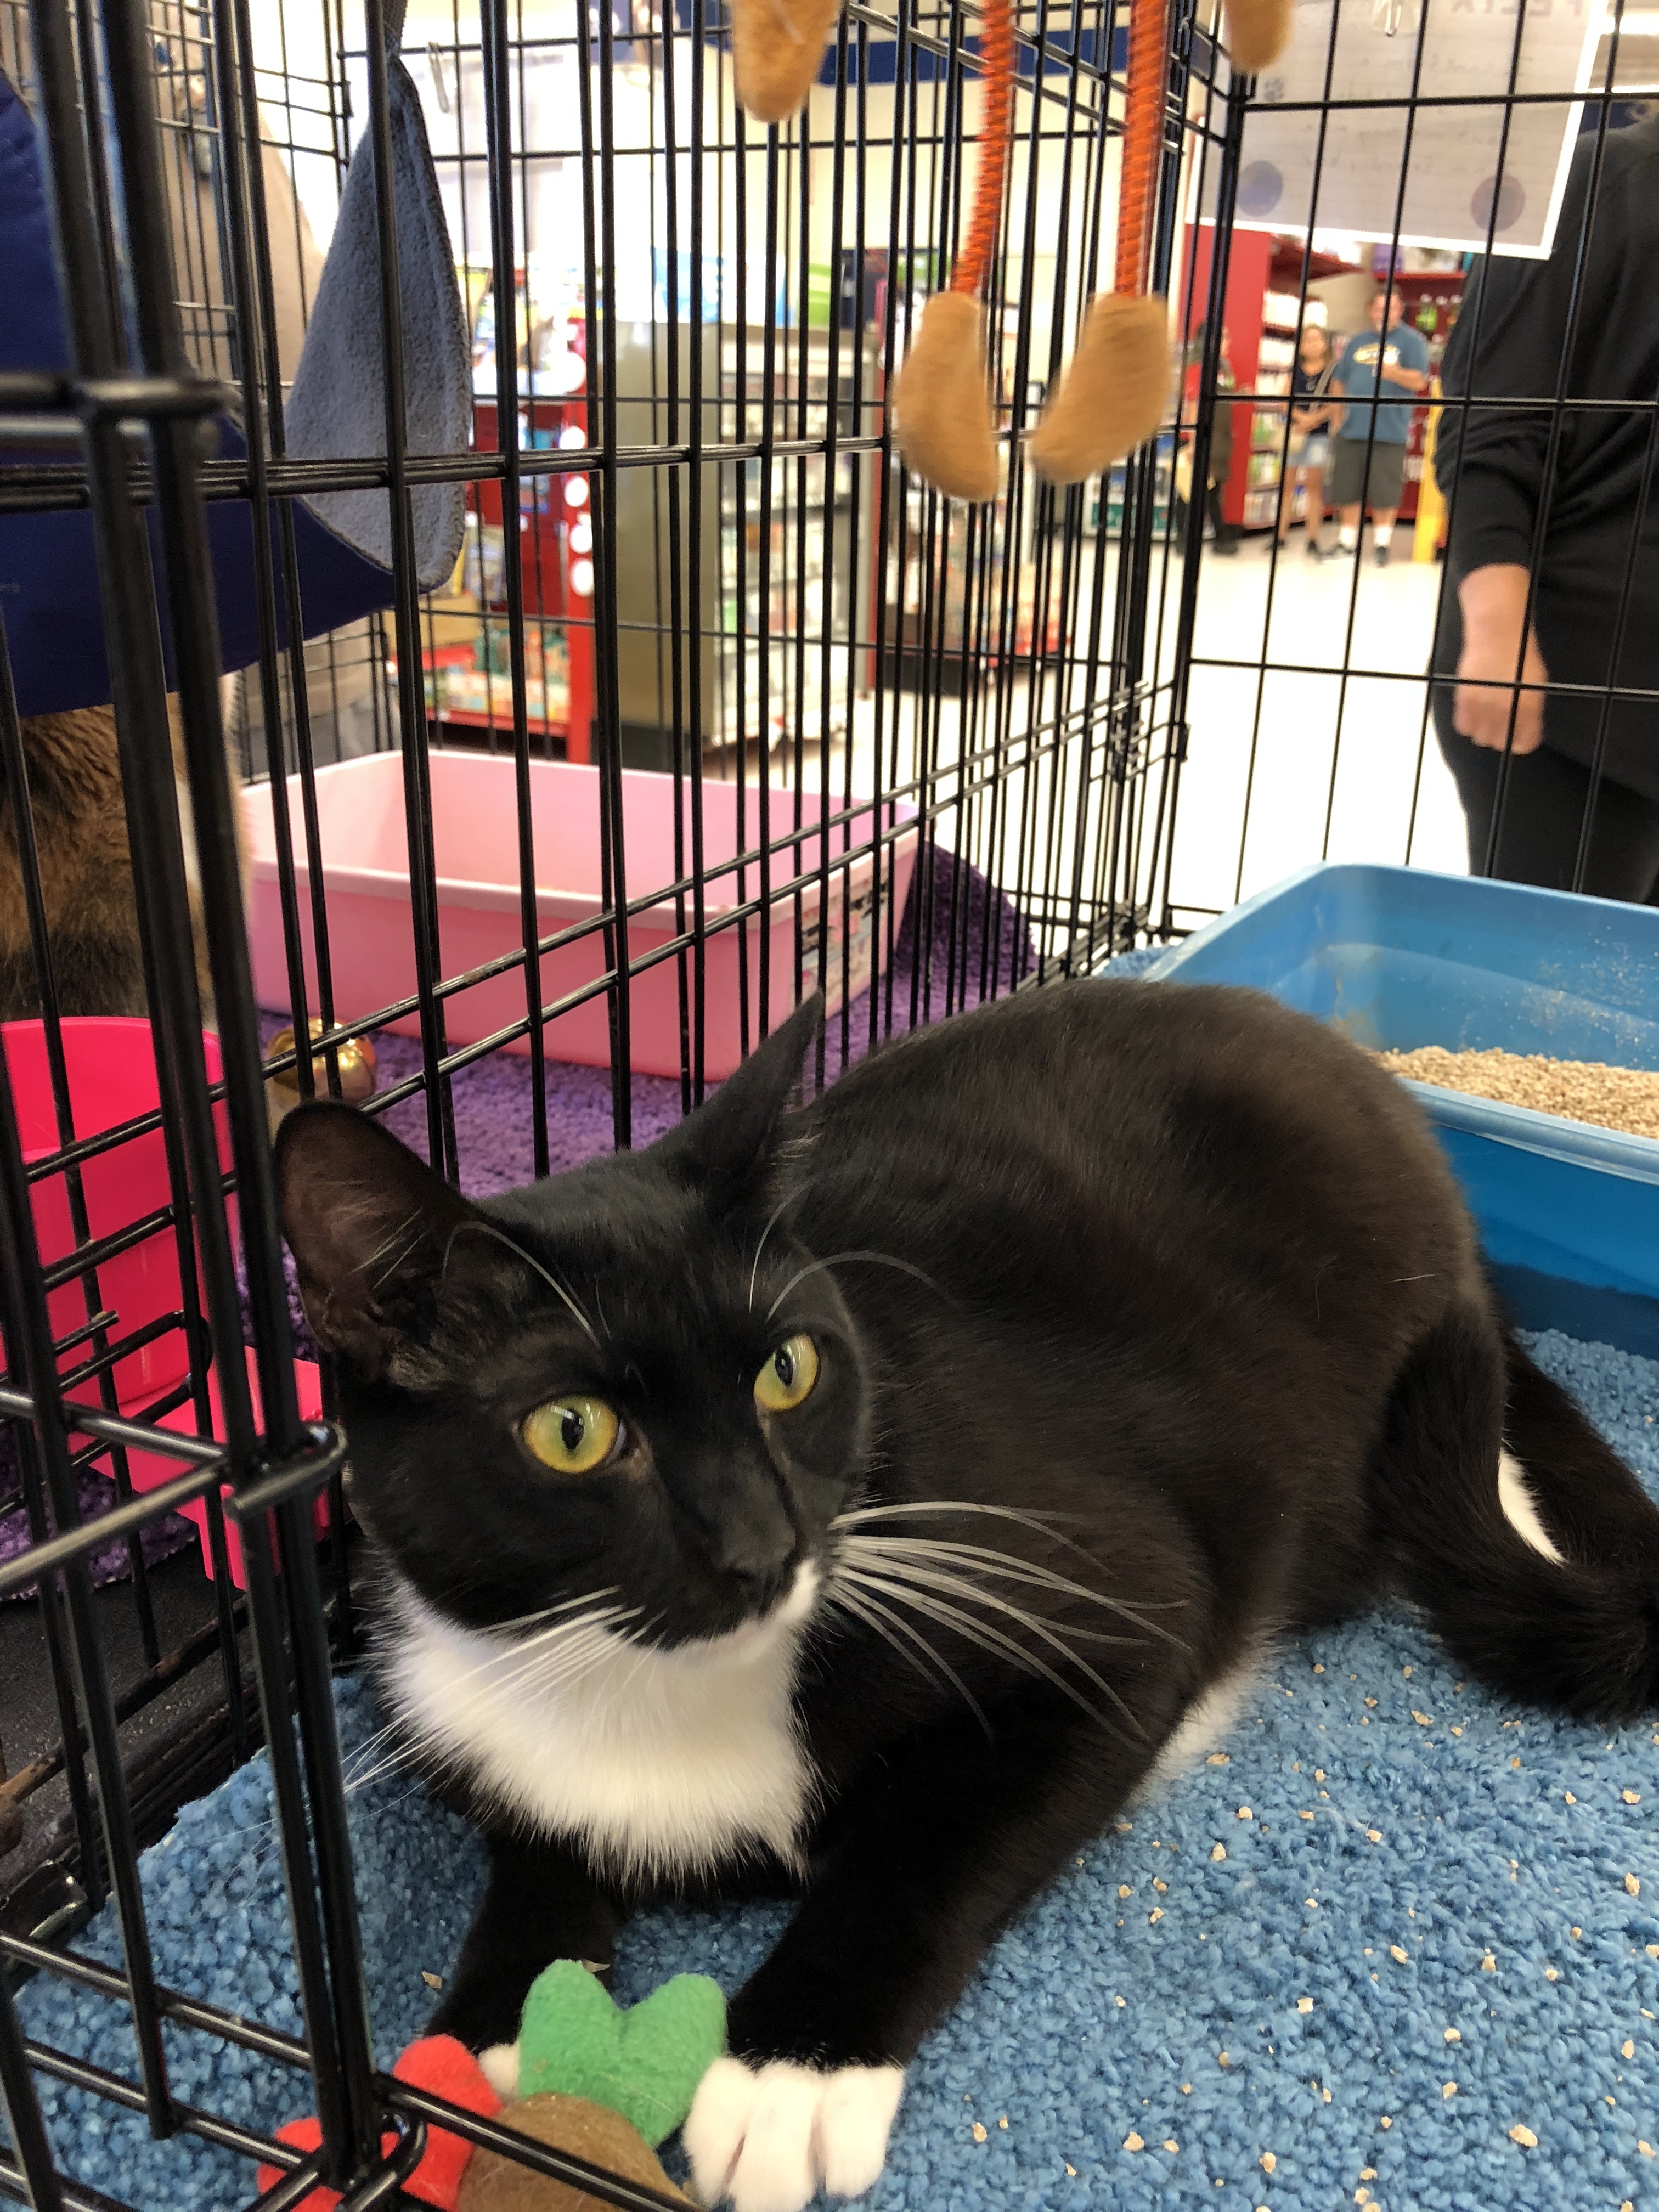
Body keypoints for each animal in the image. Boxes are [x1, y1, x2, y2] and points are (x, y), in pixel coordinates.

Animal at [276, 986, 1659, 2212]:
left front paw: (788, 2077)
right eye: (571, 1432)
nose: (764, 1546)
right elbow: (538, 1848)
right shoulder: (457, 1699)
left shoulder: (1093, 1594)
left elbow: (926, 1845)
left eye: (790, 1370)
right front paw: (475, 2048)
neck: (659, 1684)